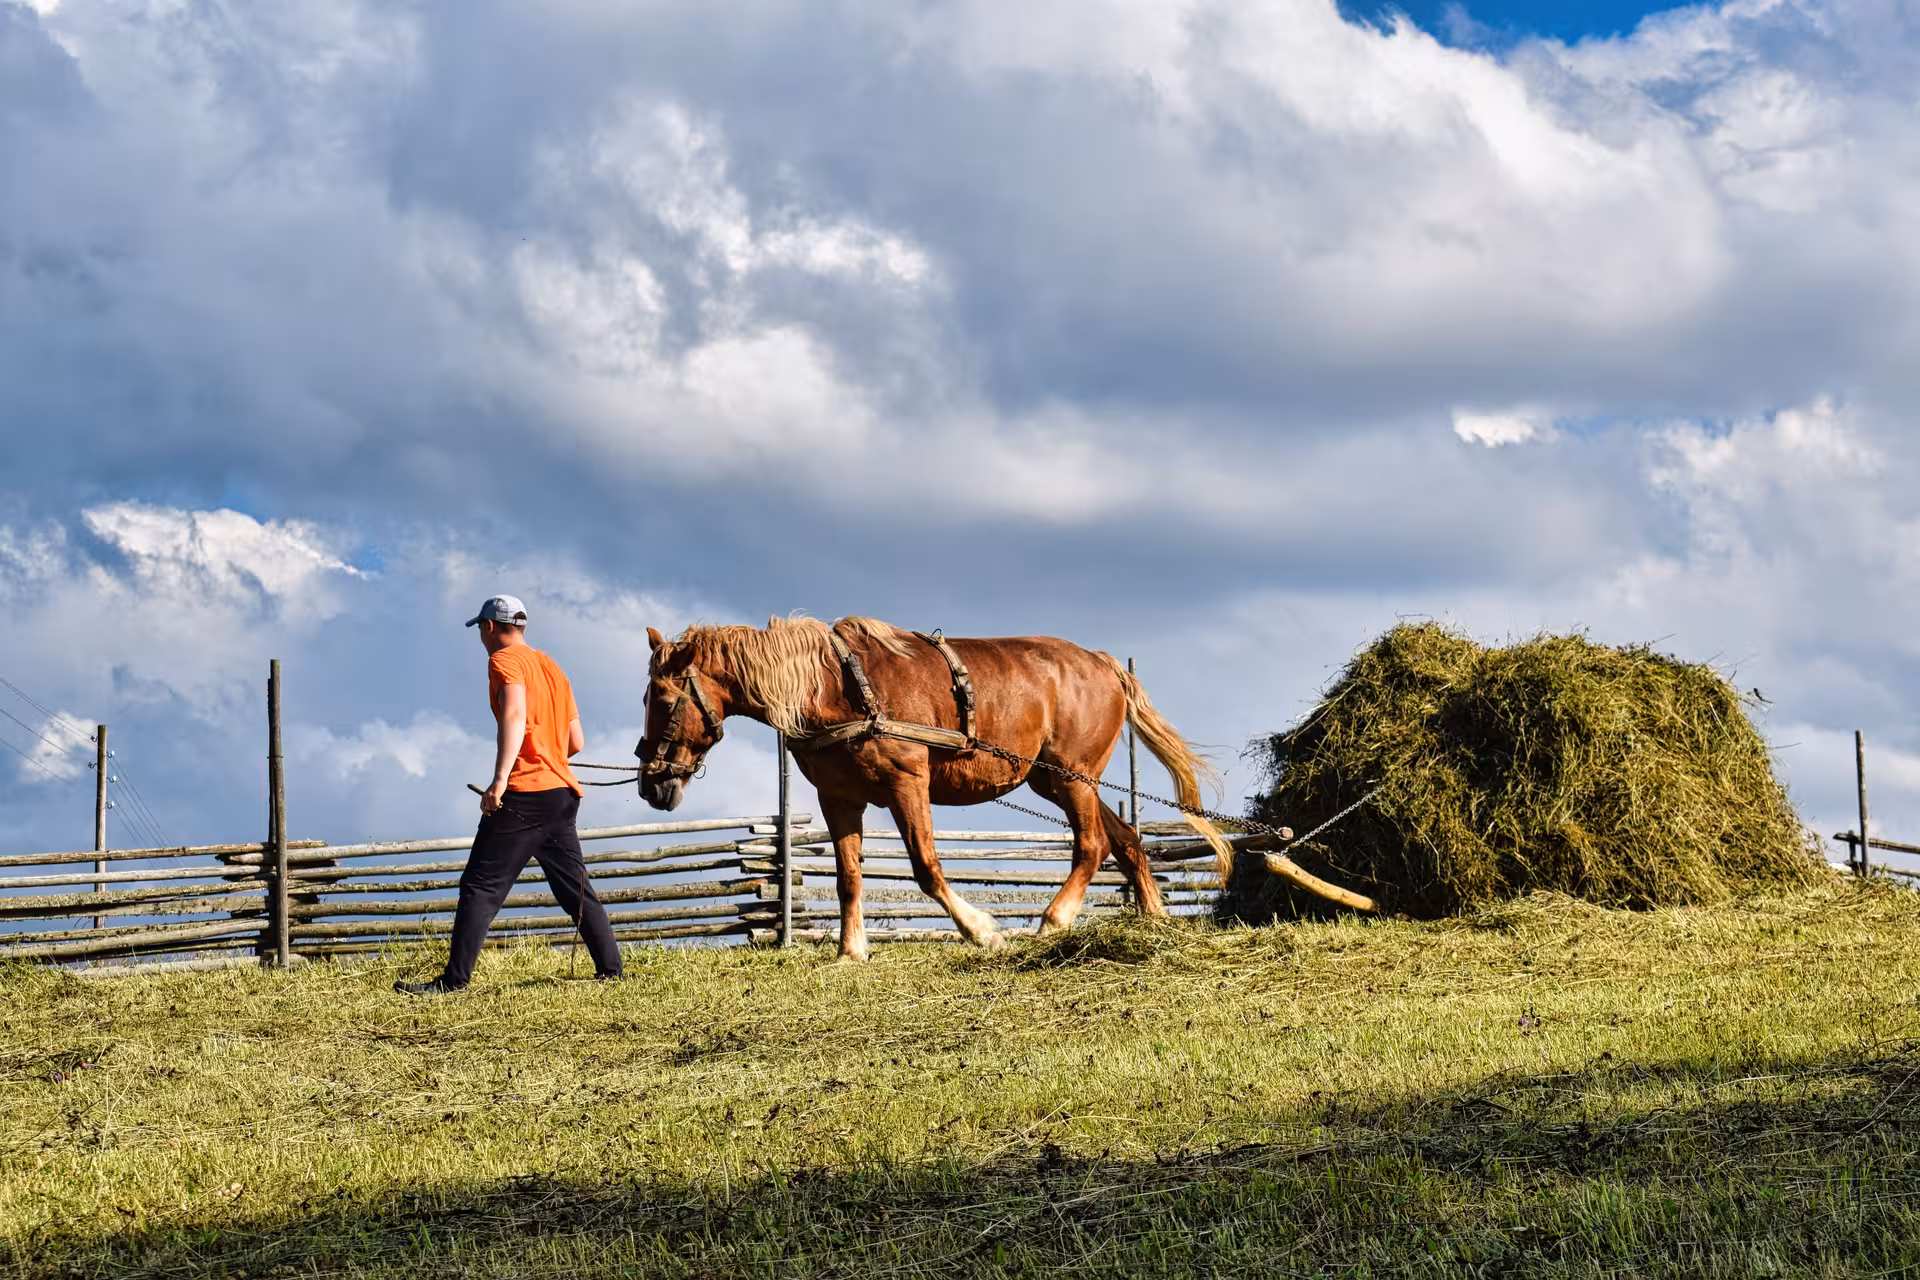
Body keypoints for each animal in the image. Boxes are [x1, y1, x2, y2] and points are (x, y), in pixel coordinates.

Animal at [635, 615, 1230, 960]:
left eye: (661, 700)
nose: (650, 784)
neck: (833, 685)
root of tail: (1105, 664)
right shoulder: (839, 798)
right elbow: (849, 876)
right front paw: (851, 953)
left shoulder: (907, 783)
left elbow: (926, 867)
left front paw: (982, 931)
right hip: (1053, 780)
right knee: (1126, 839)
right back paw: (1154, 919)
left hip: (1070, 775)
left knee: (1092, 844)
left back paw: (1053, 921)